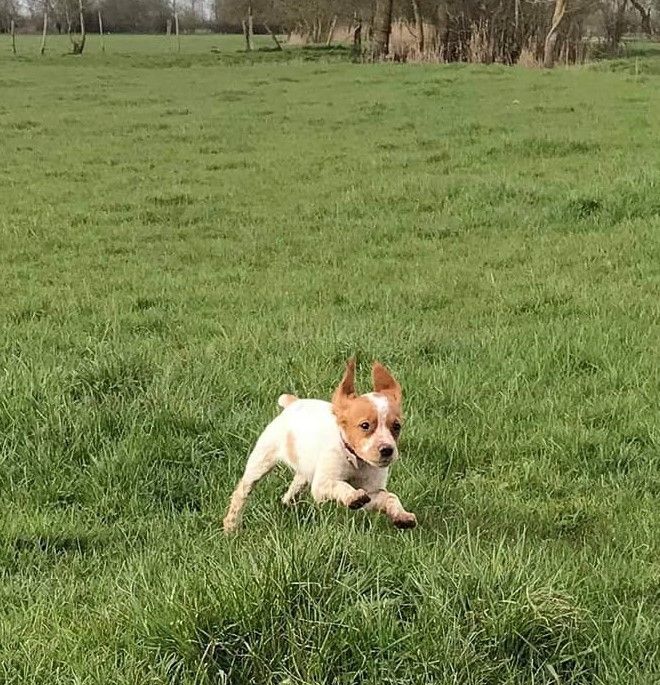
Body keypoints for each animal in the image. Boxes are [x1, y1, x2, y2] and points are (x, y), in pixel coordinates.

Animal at [224, 358, 416, 536]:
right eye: (365, 425)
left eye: (397, 426)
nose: (387, 450)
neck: (356, 460)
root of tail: (293, 403)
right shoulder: (323, 485)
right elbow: (340, 485)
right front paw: (353, 496)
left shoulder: (373, 492)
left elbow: (390, 497)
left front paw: (402, 516)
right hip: (261, 460)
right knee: (242, 492)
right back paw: (231, 526)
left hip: (304, 465)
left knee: (298, 480)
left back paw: (288, 502)